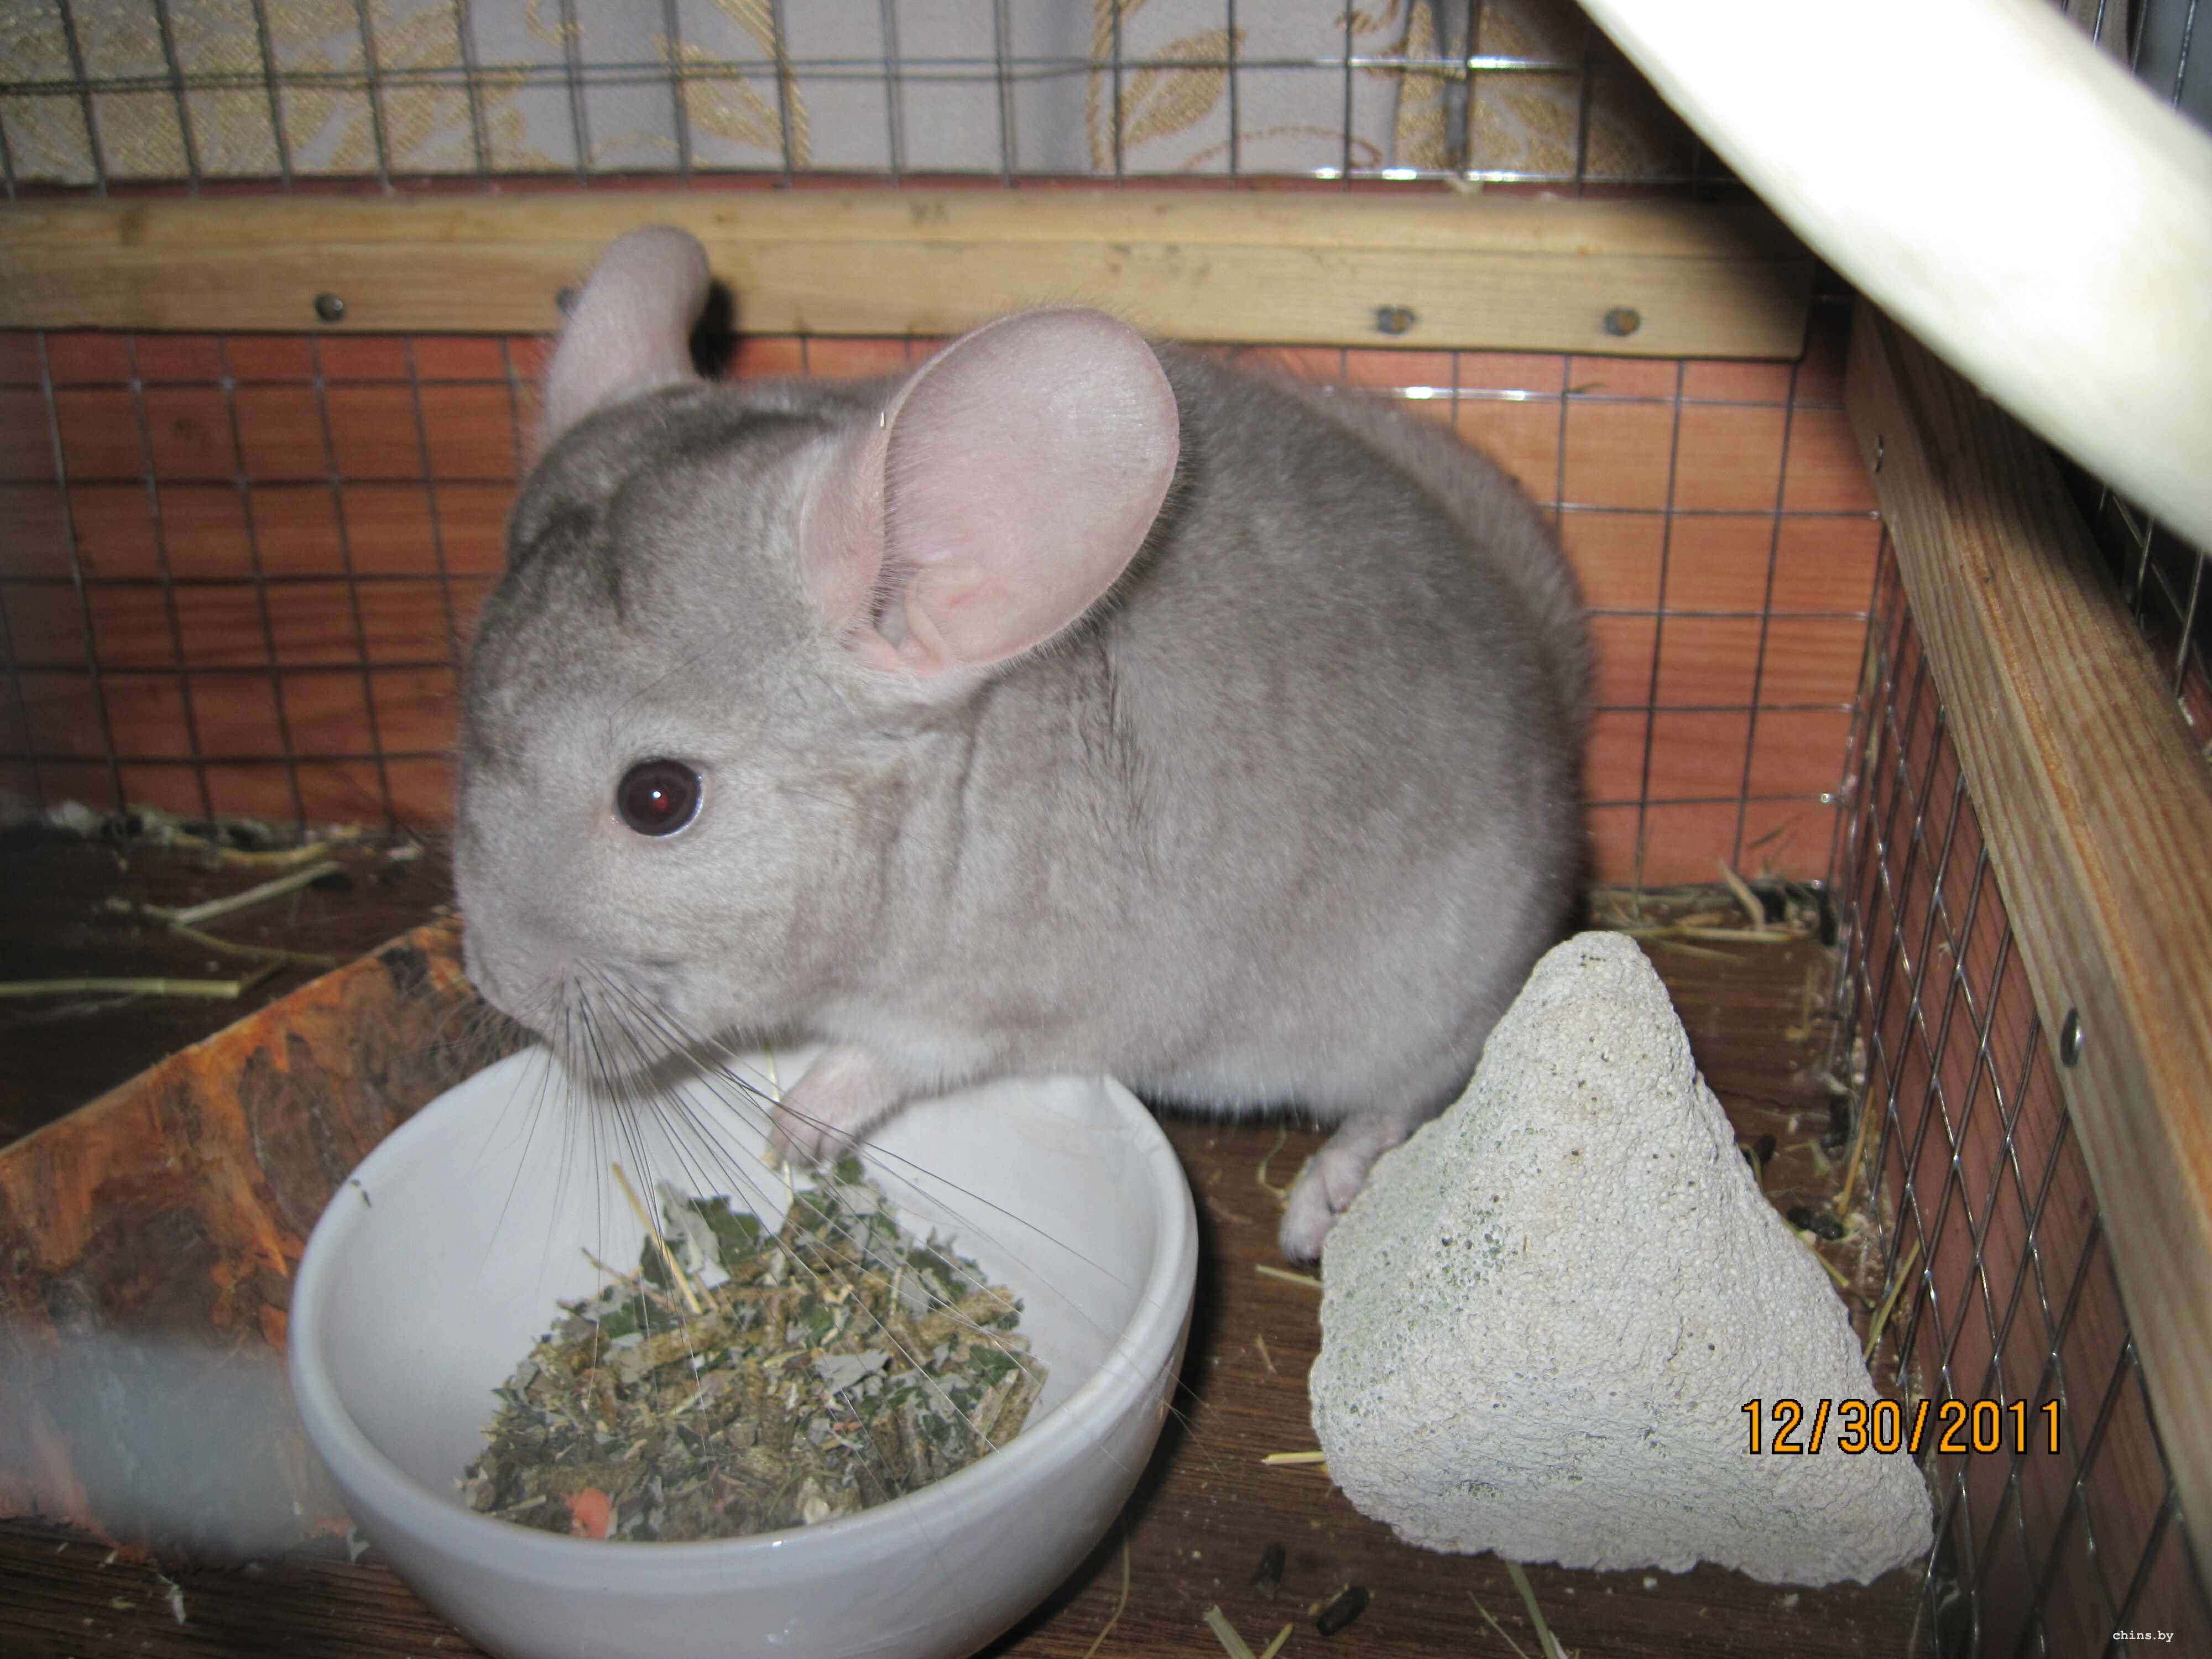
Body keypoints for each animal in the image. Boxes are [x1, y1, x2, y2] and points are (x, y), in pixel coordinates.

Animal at [453, 225, 1589, 1262]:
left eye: (657, 798)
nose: (498, 983)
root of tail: (1547, 706)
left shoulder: (1002, 1000)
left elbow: (900, 1058)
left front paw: (799, 1123)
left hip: (1421, 1007)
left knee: (1413, 1093)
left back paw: (1323, 1202)